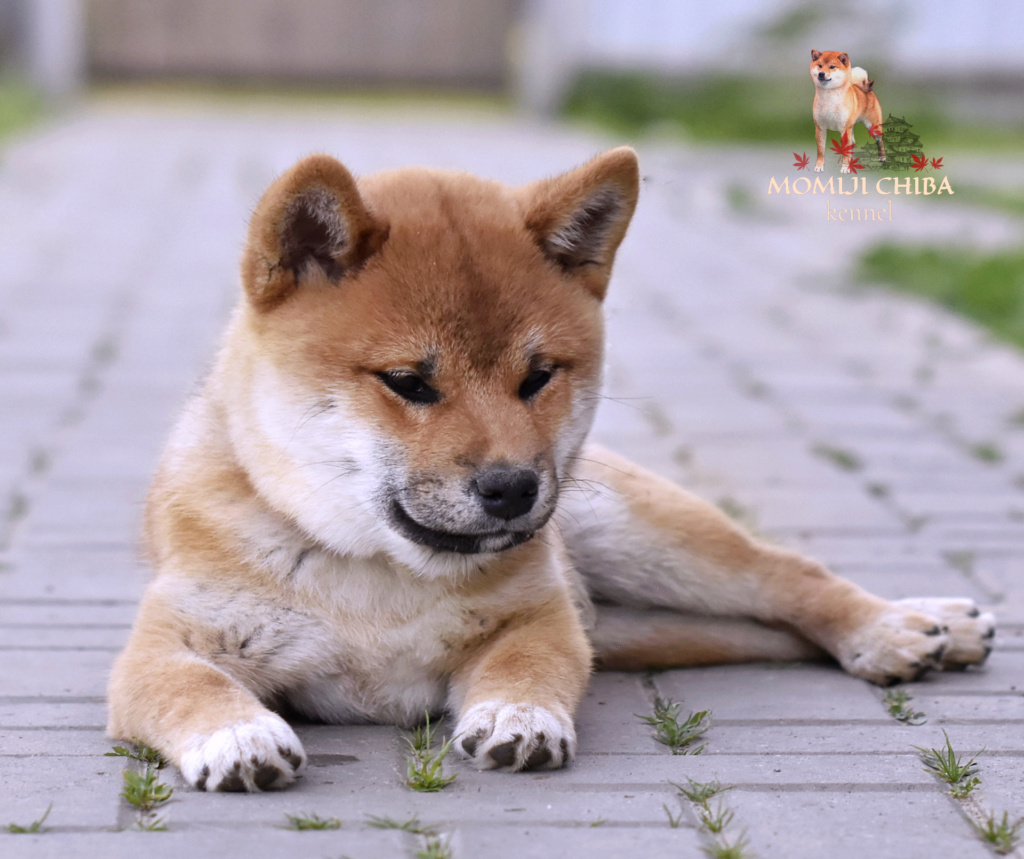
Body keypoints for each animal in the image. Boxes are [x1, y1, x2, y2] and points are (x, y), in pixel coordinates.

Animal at [108, 147, 995, 794]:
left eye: (537, 377)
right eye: (408, 381)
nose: (512, 487)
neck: (377, 581)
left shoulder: (539, 617)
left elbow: (526, 663)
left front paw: (520, 716)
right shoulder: (163, 644)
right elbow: (188, 686)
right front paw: (240, 732)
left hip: (642, 537)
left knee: (787, 577)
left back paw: (901, 626)